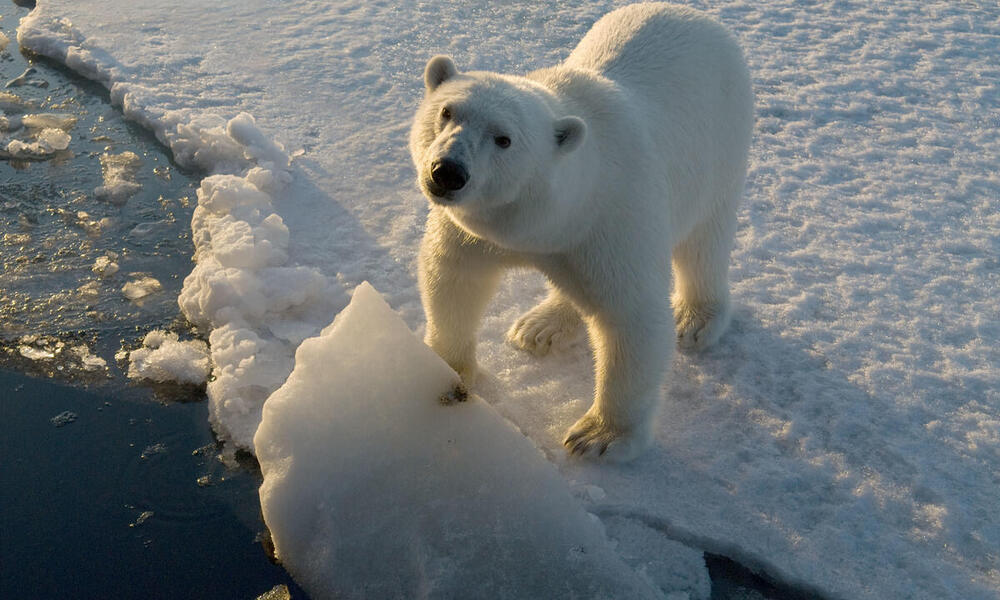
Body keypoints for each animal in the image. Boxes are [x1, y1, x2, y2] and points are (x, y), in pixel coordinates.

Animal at [408, 3, 752, 460]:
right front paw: (445, 367)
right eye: (447, 112)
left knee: (704, 240)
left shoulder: (613, 220)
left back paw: (696, 318)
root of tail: (695, 16)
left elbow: (632, 317)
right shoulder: (477, 232)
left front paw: (599, 436)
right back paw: (540, 326)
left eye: (504, 139)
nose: (447, 171)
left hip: (722, 142)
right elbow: (453, 278)